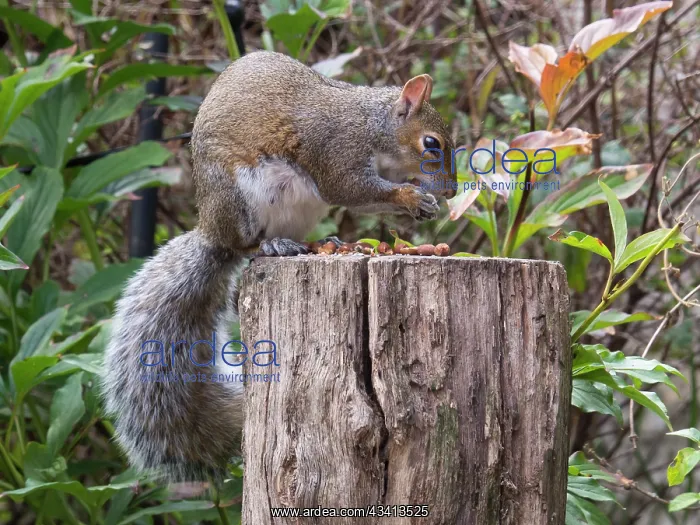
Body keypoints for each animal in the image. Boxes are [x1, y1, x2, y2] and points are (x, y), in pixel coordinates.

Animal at [102, 50, 456, 482]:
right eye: (431, 143)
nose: (453, 190)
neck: (374, 127)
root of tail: (212, 231)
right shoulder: (336, 150)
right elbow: (348, 189)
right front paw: (411, 197)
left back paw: (324, 243)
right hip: (241, 198)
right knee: (247, 245)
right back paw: (272, 244)